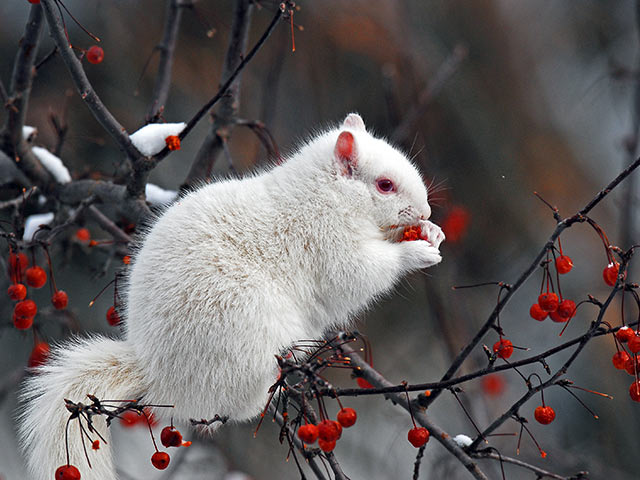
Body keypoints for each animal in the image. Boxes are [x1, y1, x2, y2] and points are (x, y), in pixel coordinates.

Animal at [17, 114, 442, 478]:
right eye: (384, 185)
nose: (425, 211)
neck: (325, 195)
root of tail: (157, 369)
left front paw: (432, 233)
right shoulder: (326, 242)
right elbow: (357, 274)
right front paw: (415, 253)